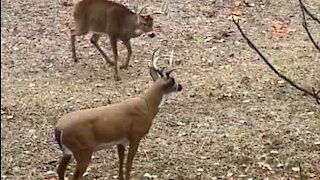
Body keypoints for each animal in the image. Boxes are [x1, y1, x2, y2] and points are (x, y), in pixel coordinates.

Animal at [55, 48, 182, 180]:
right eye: (174, 82)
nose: (181, 87)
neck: (147, 106)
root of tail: (58, 128)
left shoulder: (121, 140)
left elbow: (121, 160)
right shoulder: (135, 135)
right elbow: (129, 162)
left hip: (68, 152)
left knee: (60, 170)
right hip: (83, 150)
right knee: (74, 176)